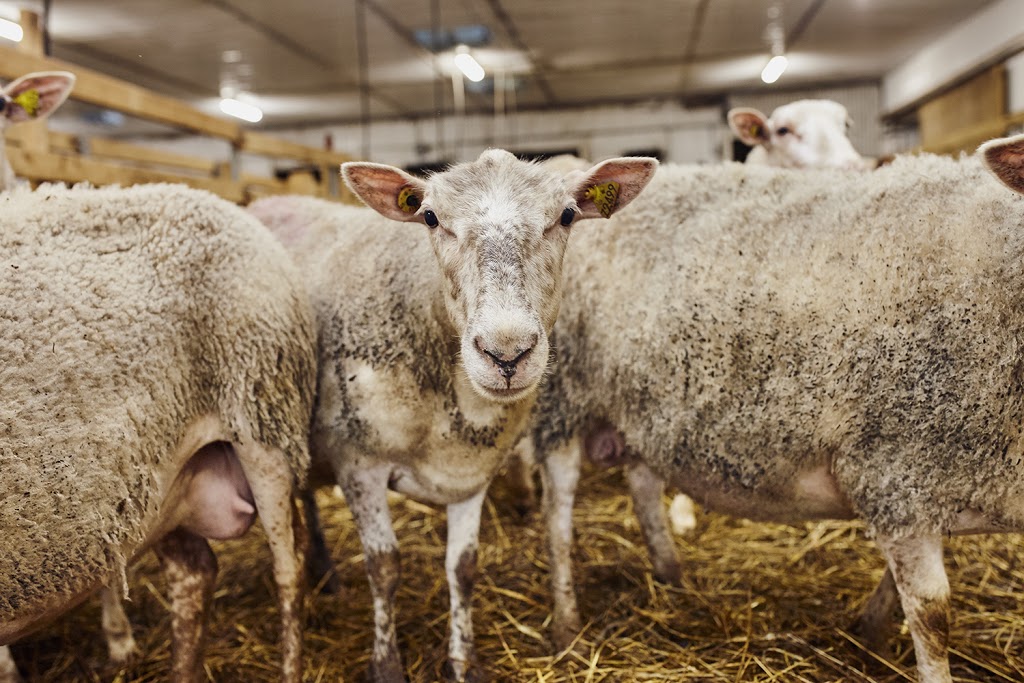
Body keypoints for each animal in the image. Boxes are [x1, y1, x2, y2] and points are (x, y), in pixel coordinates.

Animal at [251, 149, 659, 683]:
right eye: (430, 217)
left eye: (567, 216)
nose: (507, 353)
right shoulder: (357, 461)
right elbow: (384, 567)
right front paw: (386, 665)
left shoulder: (471, 471)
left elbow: (463, 568)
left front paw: (464, 662)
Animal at [528, 133, 1024, 683]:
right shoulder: (896, 473)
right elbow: (932, 617)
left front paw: (866, 630)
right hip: (563, 397)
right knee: (558, 513)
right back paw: (566, 626)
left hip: (639, 404)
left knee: (642, 485)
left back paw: (671, 574)